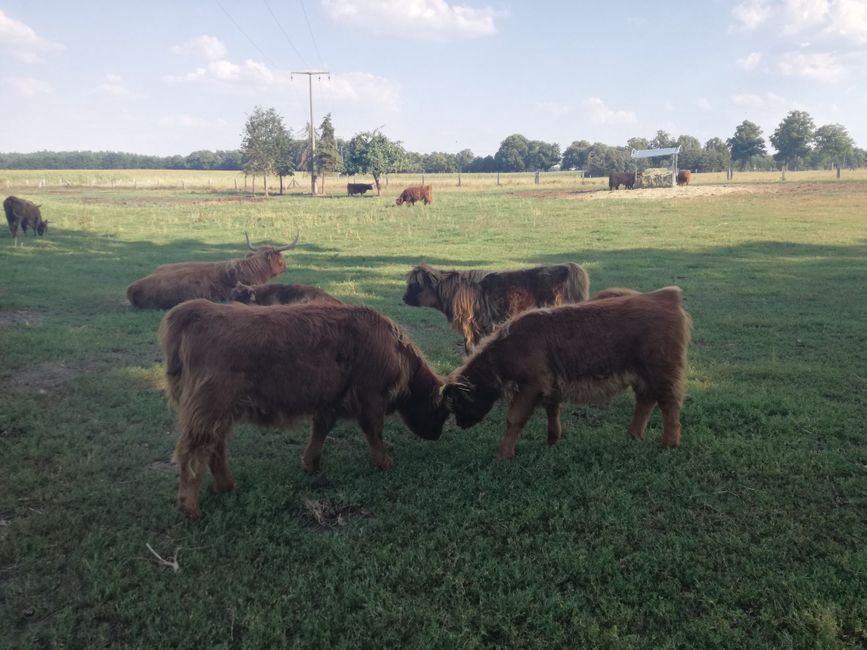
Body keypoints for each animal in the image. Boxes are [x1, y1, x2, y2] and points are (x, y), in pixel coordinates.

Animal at [159, 300, 450, 517]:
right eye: (441, 411)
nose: (436, 436)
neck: (395, 350)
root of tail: (193, 310)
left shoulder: (330, 400)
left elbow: (320, 429)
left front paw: (311, 463)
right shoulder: (371, 396)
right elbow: (374, 431)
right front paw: (384, 461)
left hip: (218, 411)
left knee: (214, 446)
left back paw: (226, 485)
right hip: (209, 407)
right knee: (194, 451)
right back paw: (189, 508)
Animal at [442, 287, 692, 459]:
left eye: (457, 403)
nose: (461, 424)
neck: (507, 348)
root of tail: (664, 296)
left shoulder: (530, 386)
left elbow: (514, 420)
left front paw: (503, 454)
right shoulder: (550, 385)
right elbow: (552, 410)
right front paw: (552, 439)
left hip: (663, 373)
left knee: (669, 406)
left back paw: (669, 443)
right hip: (644, 376)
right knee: (645, 400)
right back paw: (633, 435)